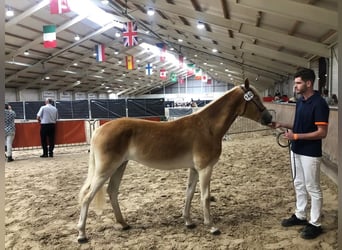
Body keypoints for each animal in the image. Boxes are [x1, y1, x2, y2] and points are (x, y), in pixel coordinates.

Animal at [77, 78, 272, 242]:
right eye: (254, 98)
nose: (269, 118)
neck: (207, 127)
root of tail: (99, 130)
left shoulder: (194, 169)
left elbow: (189, 193)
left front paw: (188, 221)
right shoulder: (205, 168)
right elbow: (205, 196)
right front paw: (211, 226)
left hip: (120, 166)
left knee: (112, 191)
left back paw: (124, 224)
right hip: (106, 169)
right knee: (87, 197)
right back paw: (82, 234)